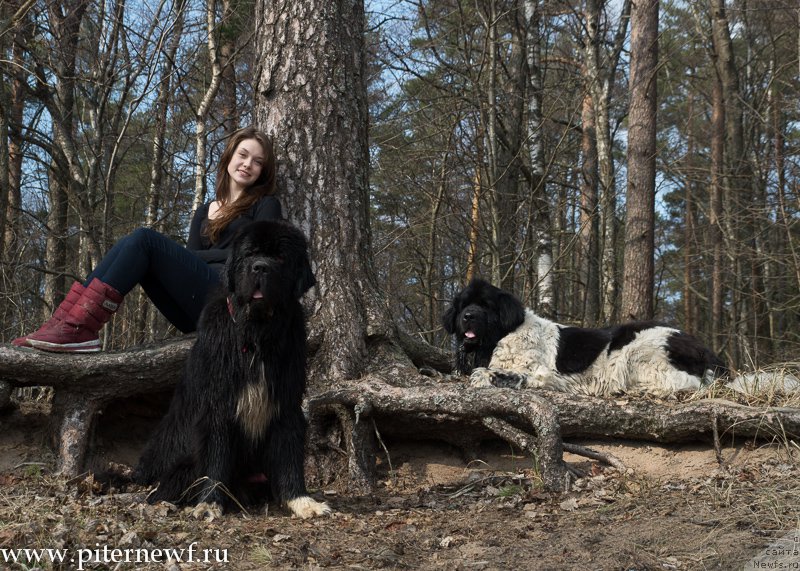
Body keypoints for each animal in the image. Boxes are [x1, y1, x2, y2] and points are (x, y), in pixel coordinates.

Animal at [136, 219, 330, 520]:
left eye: (280, 257)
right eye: (249, 254)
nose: (260, 267)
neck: (256, 335)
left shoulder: (286, 401)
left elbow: (289, 453)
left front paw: (301, 500)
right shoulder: (217, 405)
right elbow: (216, 457)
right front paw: (209, 503)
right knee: (166, 485)